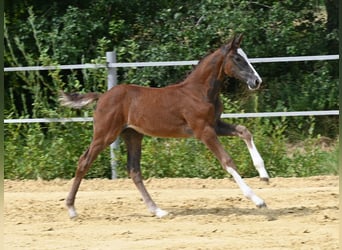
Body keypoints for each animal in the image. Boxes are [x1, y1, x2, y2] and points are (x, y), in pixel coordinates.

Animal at [60, 34, 270, 218]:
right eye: (237, 58)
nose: (257, 81)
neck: (198, 92)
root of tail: (102, 96)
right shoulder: (204, 131)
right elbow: (227, 161)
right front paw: (258, 200)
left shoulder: (215, 125)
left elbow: (244, 131)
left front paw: (264, 175)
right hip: (105, 134)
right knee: (84, 161)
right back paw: (71, 209)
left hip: (133, 135)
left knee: (134, 171)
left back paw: (158, 210)